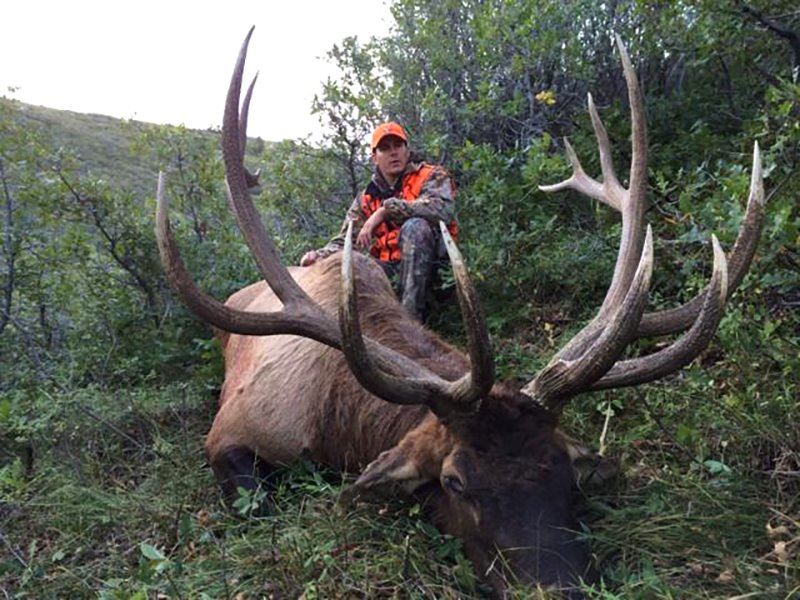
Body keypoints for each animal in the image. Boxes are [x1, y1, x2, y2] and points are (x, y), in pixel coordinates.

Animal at [155, 28, 765, 597]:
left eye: (566, 471)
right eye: (454, 482)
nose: (558, 588)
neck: (335, 425)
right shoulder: (232, 433)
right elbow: (257, 502)